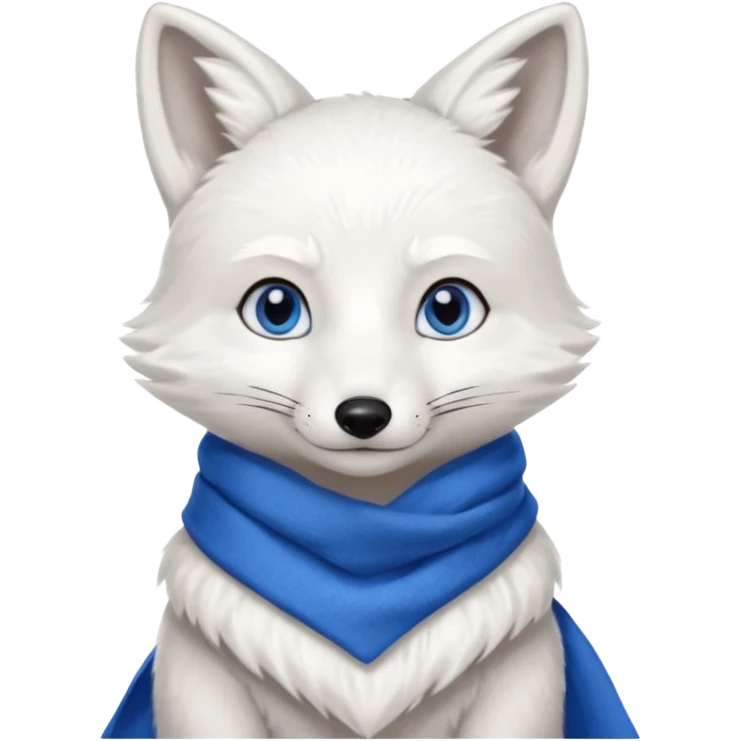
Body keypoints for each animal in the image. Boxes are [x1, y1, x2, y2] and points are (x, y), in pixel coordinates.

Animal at [113, 2, 617, 739]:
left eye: (447, 308)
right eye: (276, 308)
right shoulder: (200, 682)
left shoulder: (523, 680)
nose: (362, 415)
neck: (365, 548)